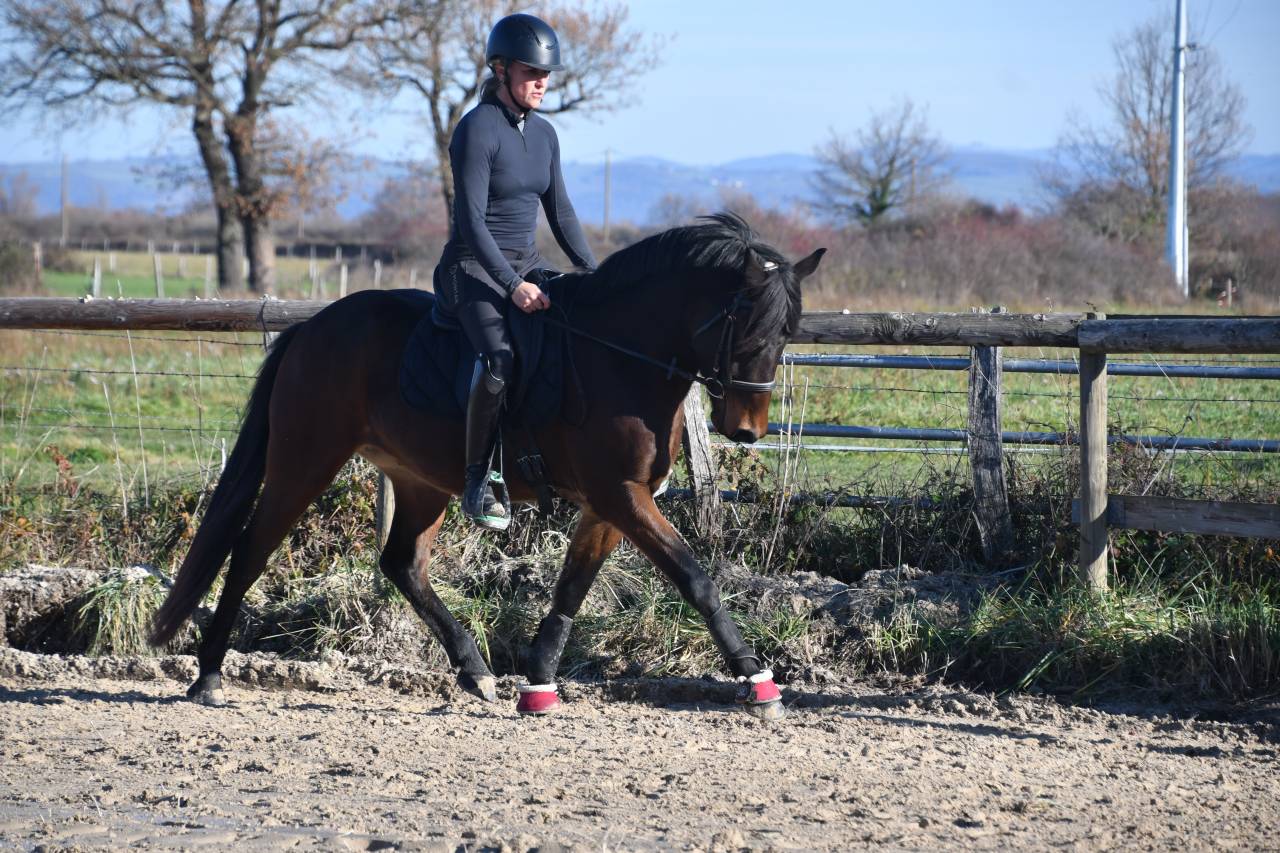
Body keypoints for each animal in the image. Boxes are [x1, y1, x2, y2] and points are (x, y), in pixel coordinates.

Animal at [148, 213, 825, 720]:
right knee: (249, 550)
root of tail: (312, 328)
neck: (621, 357)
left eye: (787, 332)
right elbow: (694, 577)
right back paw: (208, 676)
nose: (746, 431)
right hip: (305, 461)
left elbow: (572, 587)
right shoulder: (619, 494)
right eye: (747, 328)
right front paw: (758, 680)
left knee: (402, 564)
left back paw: (475, 671)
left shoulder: (612, 502)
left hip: (420, 479)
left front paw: (539, 685)